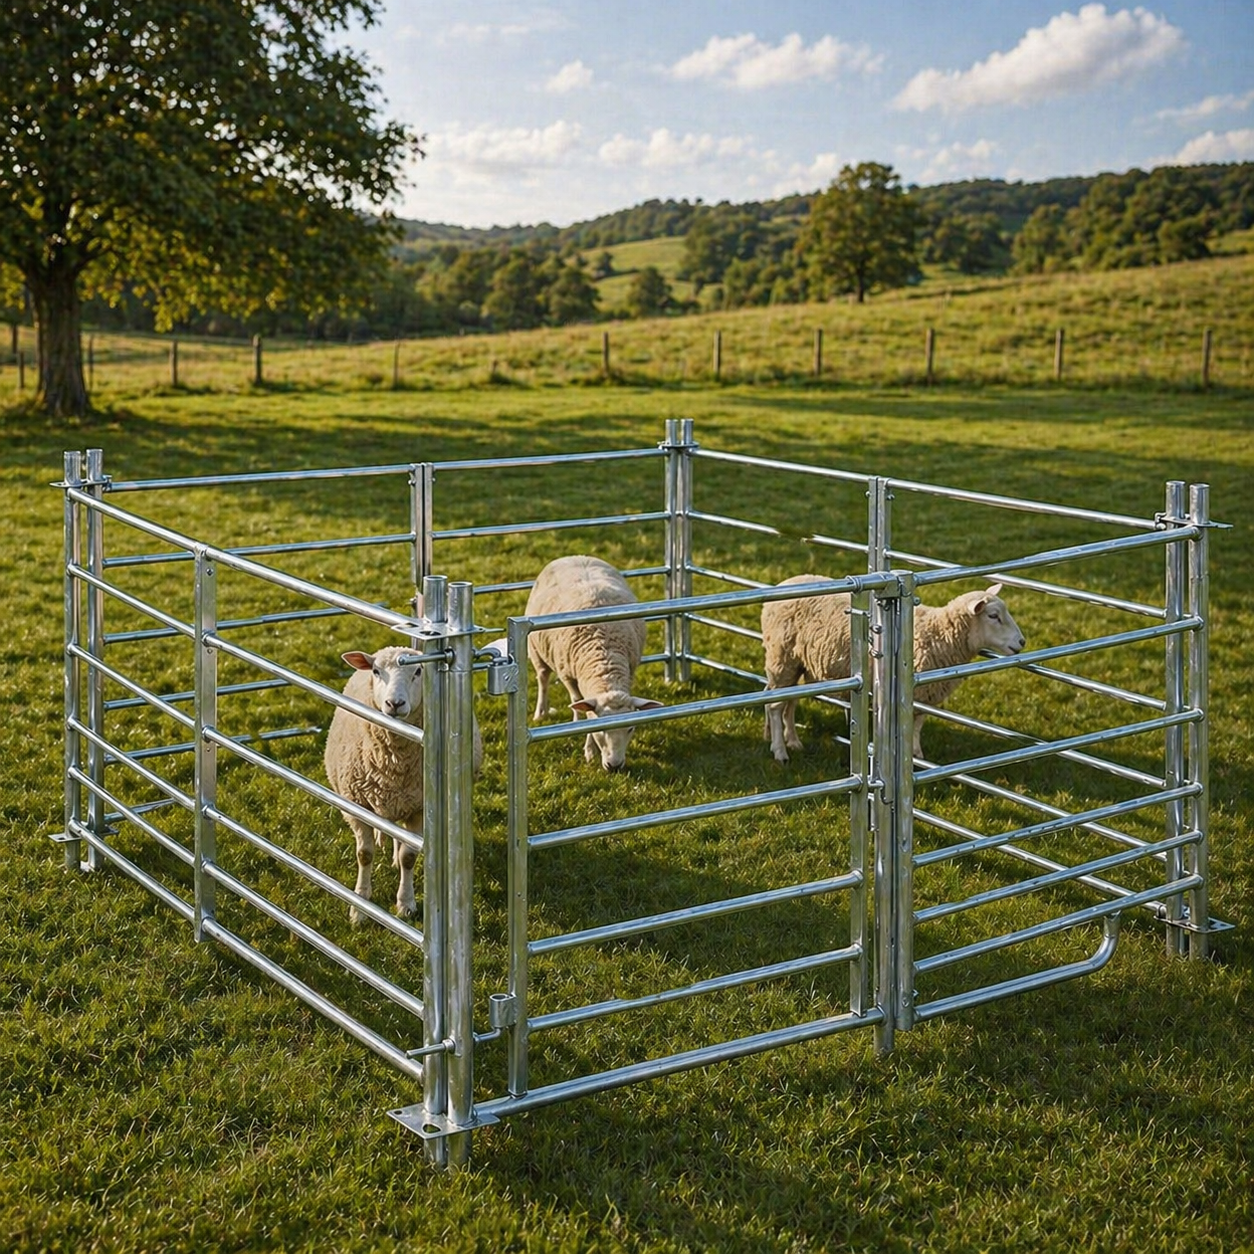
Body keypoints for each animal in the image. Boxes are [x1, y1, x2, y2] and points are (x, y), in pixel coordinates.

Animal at [324, 645, 483, 923]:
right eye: (376, 671)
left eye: (418, 671)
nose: (394, 703)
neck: (392, 764)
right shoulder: (356, 805)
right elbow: (364, 855)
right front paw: (360, 906)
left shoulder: (419, 807)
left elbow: (408, 857)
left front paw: (405, 903)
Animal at [524, 554, 662, 771]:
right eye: (600, 729)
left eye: (631, 728)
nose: (615, 766)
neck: (605, 661)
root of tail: (575, 556)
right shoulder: (568, 676)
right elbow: (579, 704)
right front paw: (589, 749)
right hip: (537, 652)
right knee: (543, 680)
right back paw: (541, 712)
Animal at [762, 579, 1025, 763]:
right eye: (993, 616)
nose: (1022, 642)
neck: (940, 633)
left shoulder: (924, 694)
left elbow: (917, 725)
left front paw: (916, 754)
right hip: (782, 658)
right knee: (775, 706)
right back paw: (780, 752)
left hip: (794, 664)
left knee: (782, 700)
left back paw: (789, 740)